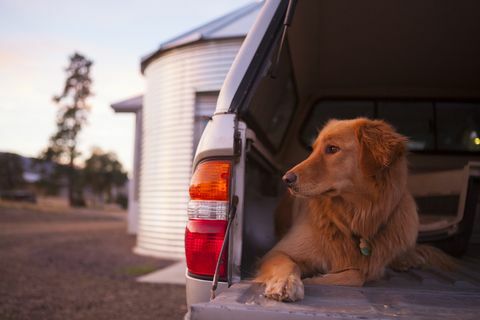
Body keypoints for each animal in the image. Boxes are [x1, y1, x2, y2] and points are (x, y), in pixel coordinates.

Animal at [255, 118, 454, 302]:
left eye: (332, 149)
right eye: (313, 150)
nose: (286, 179)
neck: (352, 215)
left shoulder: (371, 268)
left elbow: (357, 275)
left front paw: (315, 278)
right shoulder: (277, 252)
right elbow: (289, 265)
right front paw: (286, 282)